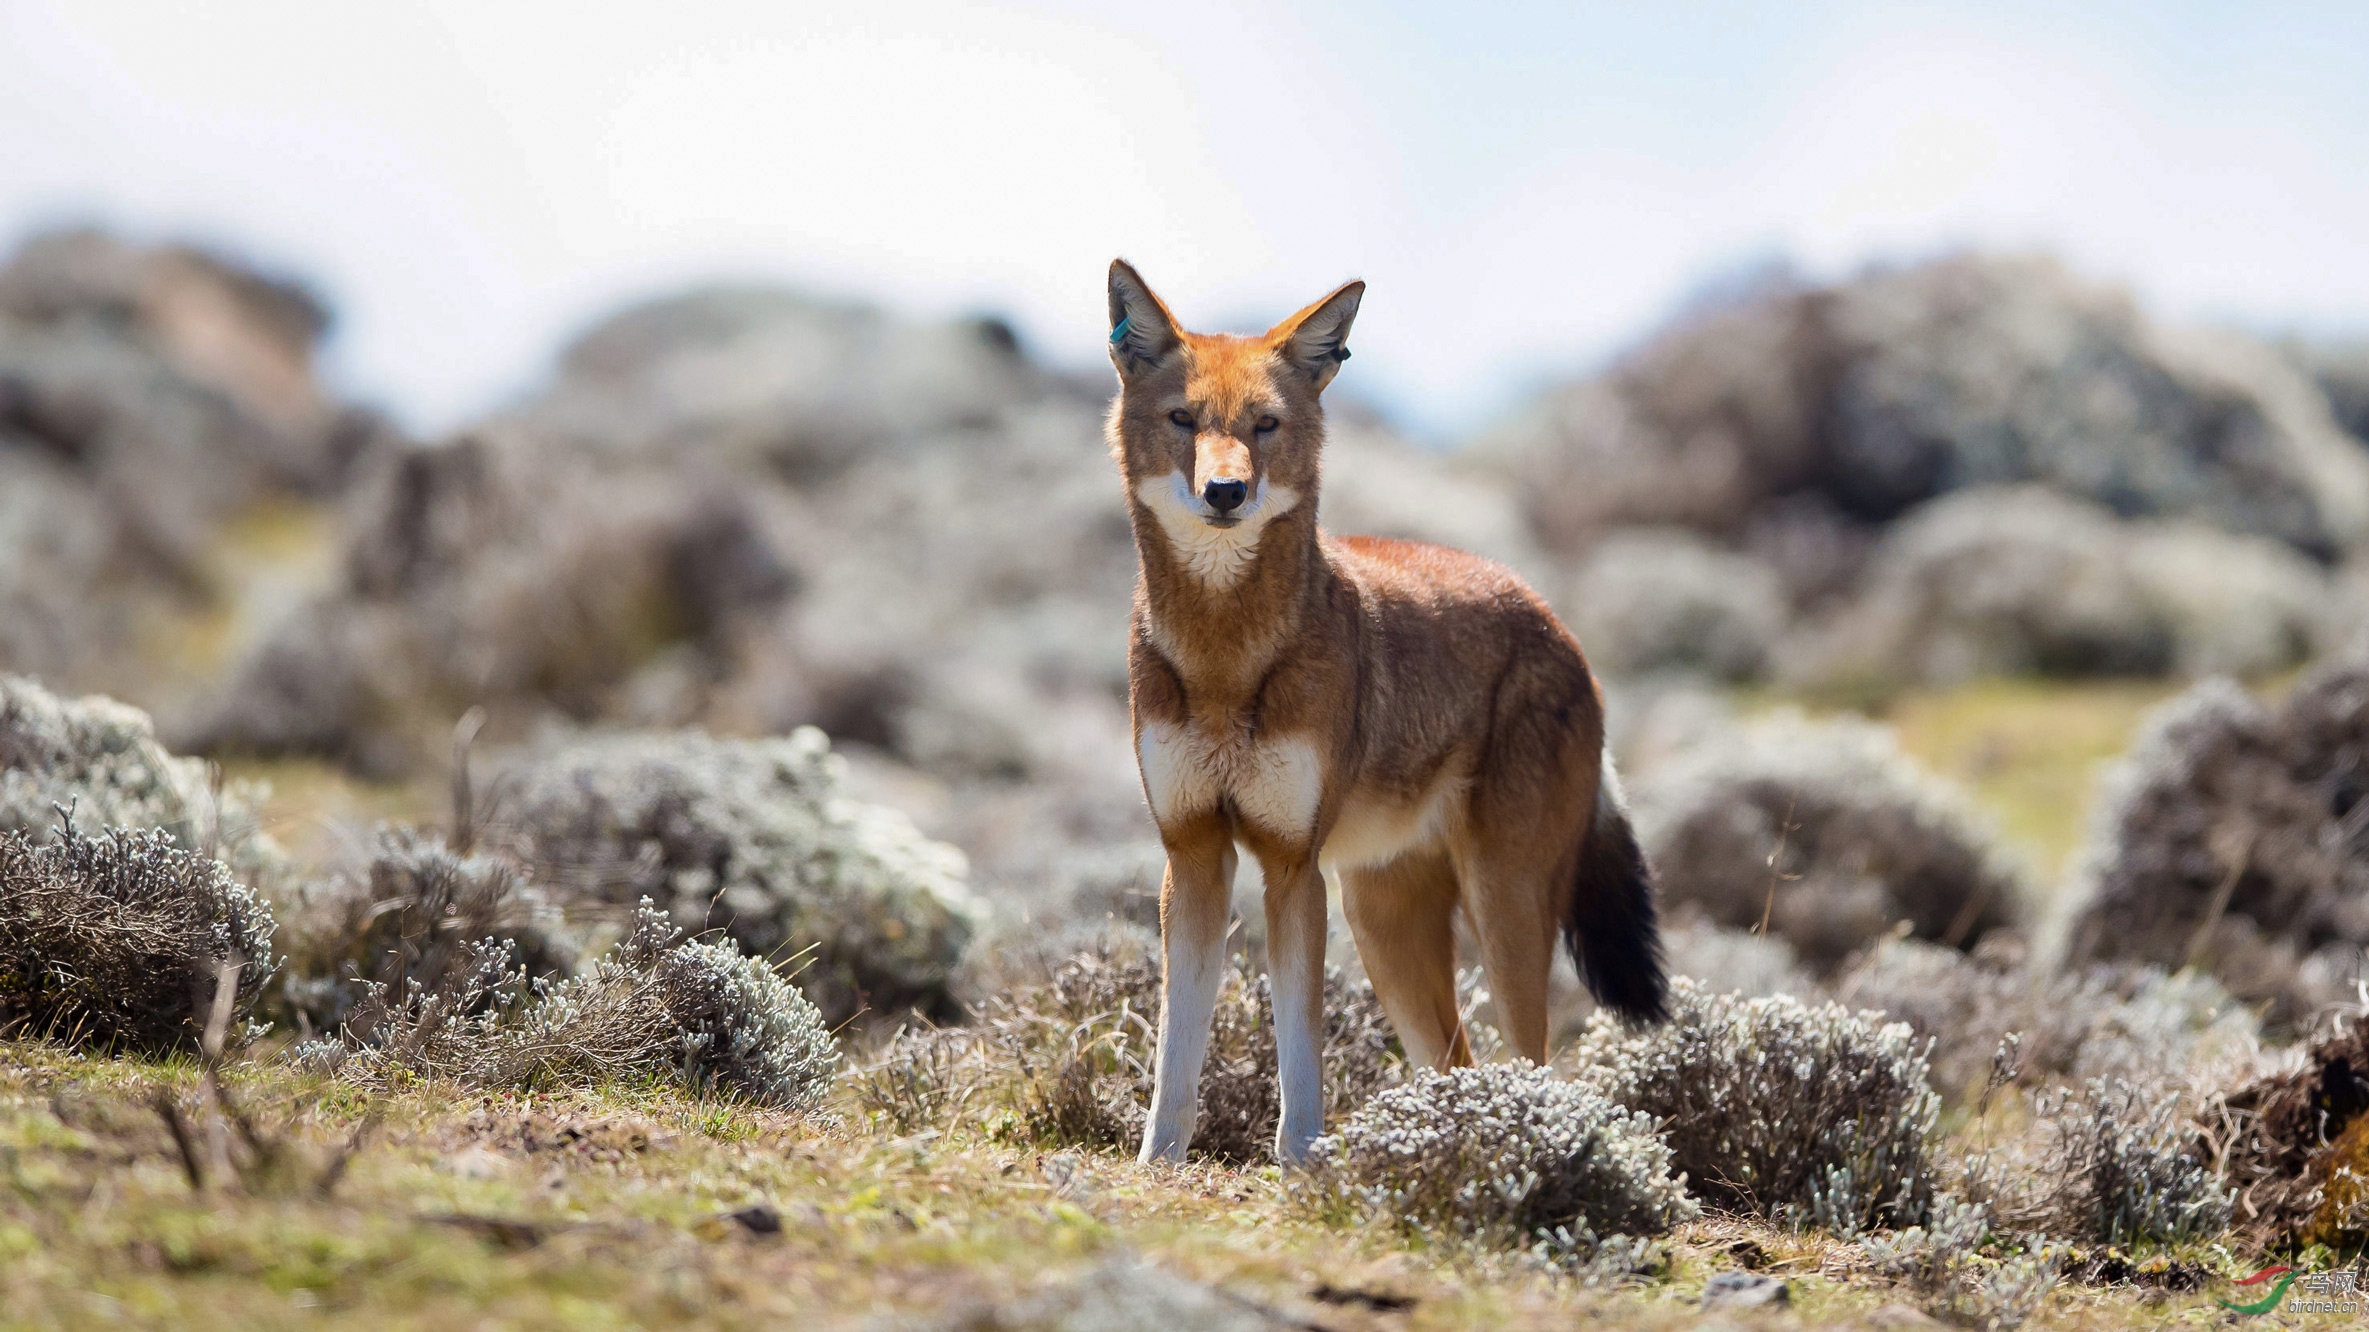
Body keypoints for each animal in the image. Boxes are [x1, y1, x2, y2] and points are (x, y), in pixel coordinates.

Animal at [1103, 261, 1667, 1161]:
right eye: (1183, 420)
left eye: (1264, 426)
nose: (1225, 491)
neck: (1224, 657)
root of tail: (1558, 625)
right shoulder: (1192, 857)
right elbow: (1175, 1054)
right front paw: (1157, 1164)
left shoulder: (1291, 868)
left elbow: (1300, 1051)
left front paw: (1301, 1160)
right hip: (1385, 931)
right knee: (1458, 1064)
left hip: (1502, 913)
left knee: (1531, 1067)